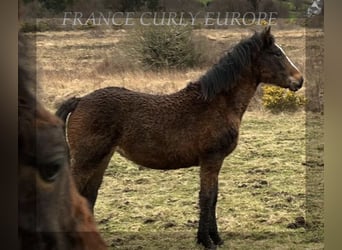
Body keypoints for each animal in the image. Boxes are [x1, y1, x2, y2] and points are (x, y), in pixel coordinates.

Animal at [56, 26, 304, 249]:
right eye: (276, 53)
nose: (299, 80)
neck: (216, 103)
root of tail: (80, 100)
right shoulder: (211, 159)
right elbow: (206, 197)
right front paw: (206, 241)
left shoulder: (215, 162)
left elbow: (214, 197)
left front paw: (215, 238)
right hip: (86, 160)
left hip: (101, 159)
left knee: (89, 195)